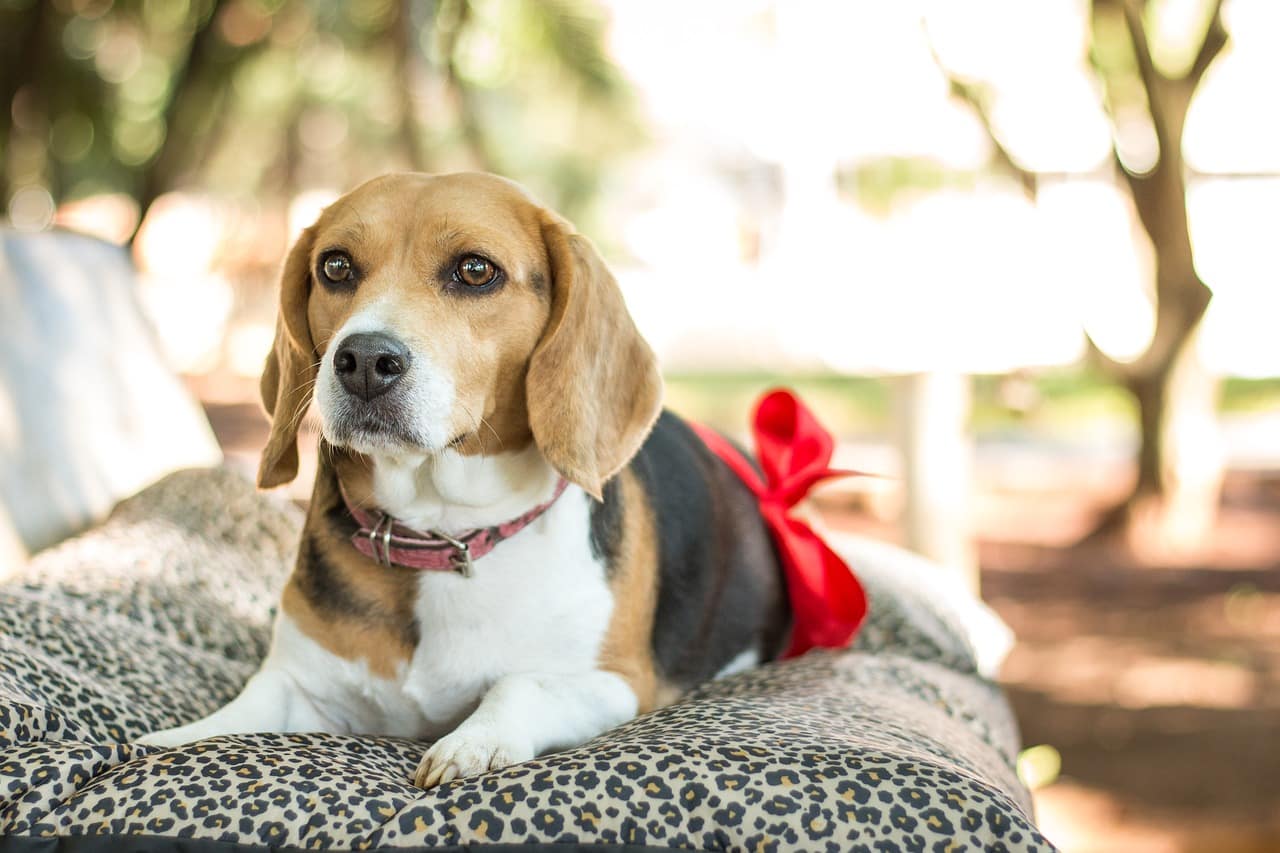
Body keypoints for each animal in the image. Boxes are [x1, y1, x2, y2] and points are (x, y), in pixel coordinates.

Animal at [135, 171, 783, 783]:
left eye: (475, 270)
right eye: (335, 266)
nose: (363, 361)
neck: (440, 532)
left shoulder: (617, 682)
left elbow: (520, 684)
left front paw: (473, 742)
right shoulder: (300, 681)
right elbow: (237, 714)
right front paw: (164, 743)